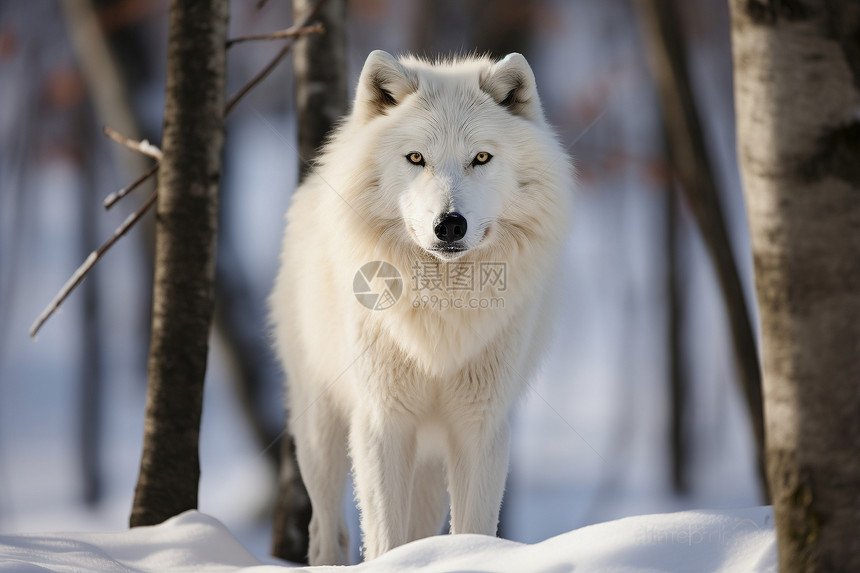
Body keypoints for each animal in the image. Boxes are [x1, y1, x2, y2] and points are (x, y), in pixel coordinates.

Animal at [270, 50, 572, 564]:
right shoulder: (382, 421)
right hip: (320, 433)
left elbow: (473, 528)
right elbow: (383, 537)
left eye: (481, 158)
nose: (449, 224)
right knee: (327, 530)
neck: (441, 305)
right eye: (416, 158)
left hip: (430, 454)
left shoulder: (480, 427)